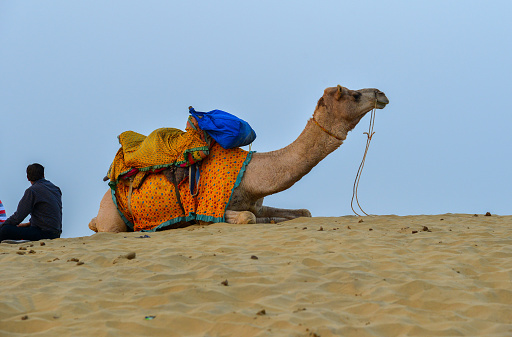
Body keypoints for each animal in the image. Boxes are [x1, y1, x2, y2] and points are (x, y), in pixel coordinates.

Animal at [91, 84, 388, 232]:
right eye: (354, 95)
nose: (381, 93)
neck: (253, 174)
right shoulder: (209, 209)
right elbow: (246, 218)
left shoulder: (257, 202)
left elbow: (302, 212)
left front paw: (278, 220)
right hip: (112, 219)